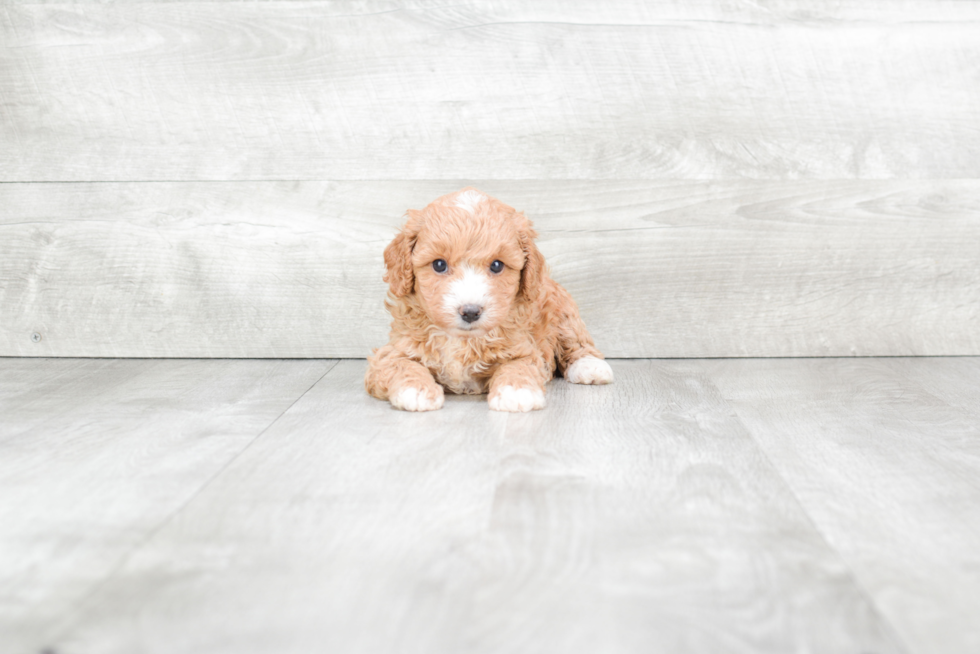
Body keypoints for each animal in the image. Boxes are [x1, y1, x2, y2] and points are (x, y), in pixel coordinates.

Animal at [368, 190, 612, 412]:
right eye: (439, 264)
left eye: (496, 265)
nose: (470, 312)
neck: (463, 340)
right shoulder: (391, 352)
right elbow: (401, 364)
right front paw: (416, 390)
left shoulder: (525, 350)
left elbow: (517, 366)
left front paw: (516, 391)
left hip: (563, 311)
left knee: (576, 340)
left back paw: (590, 366)